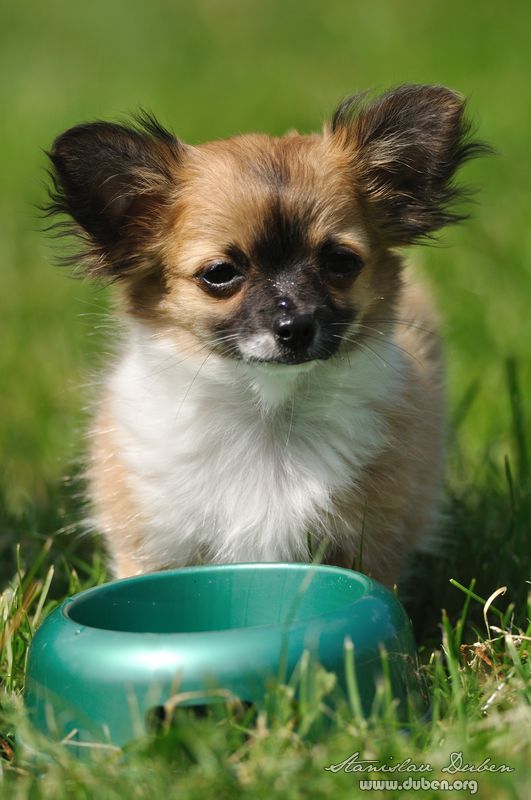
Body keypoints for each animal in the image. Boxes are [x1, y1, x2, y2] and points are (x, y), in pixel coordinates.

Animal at [47, 84, 488, 586]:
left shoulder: (373, 543)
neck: (269, 411)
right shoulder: (152, 542)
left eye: (341, 262)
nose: (295, 327)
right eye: (220, 273)